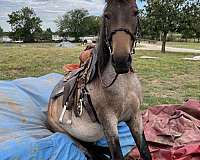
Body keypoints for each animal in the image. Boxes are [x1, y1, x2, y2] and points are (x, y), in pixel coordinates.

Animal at [48, 0, 152, 160]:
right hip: (68, 135)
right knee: (89, 151)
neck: (123, 85)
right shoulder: (109, 124)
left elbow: (146, 151)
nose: (121, 61)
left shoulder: (135, 118)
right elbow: (117, 154)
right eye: (107, 15)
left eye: (135, 12)